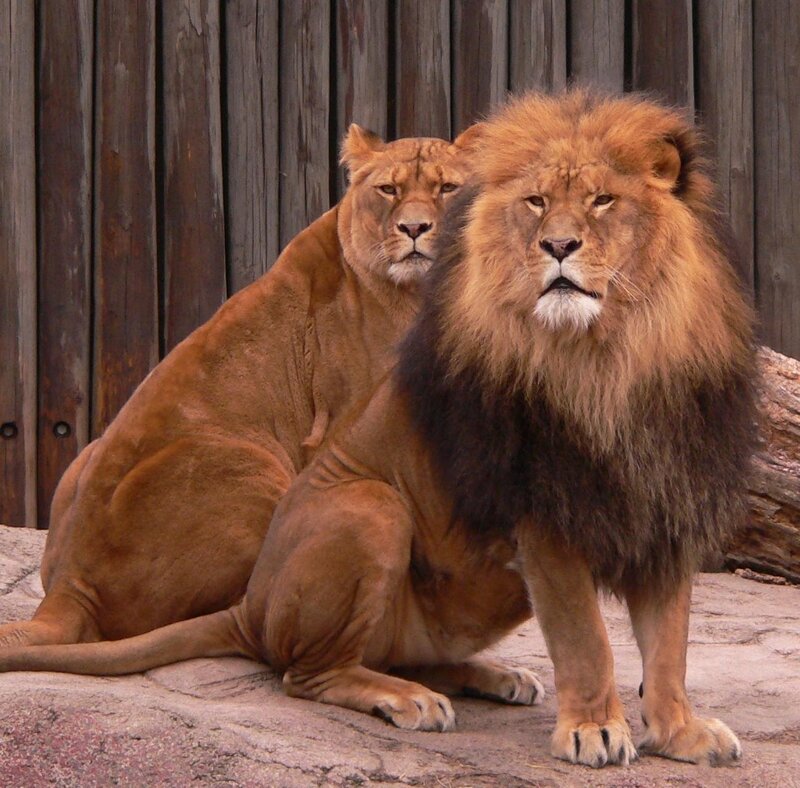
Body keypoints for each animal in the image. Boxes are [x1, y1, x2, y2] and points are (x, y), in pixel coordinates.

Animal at [0, 124, 476, 648]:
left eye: (446, 189)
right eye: (388, 190)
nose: (414, 229)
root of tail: (70, 581)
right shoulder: (352, 430)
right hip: (249, 462)